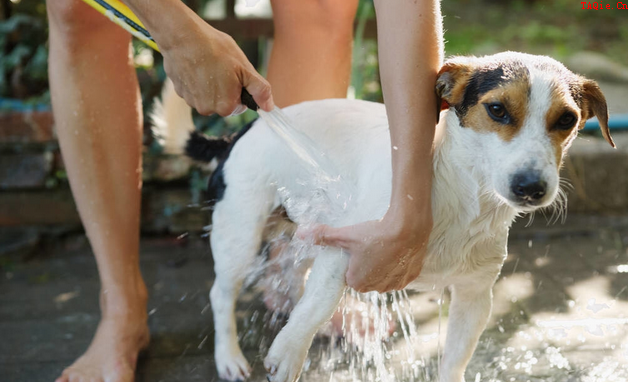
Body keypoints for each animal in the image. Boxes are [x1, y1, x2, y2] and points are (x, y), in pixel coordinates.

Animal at [152, 51, 612, 382]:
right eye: (497, 110)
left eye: (567, 119)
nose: (531, 187)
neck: (462, 197)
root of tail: (241, 132)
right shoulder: (347, 249)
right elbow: (318, 303)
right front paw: (289, 351)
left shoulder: (474, 297)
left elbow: (454, 361)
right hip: (241, 234)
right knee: (222, 294)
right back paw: (230, 356)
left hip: (308, 232)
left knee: (293, 280)